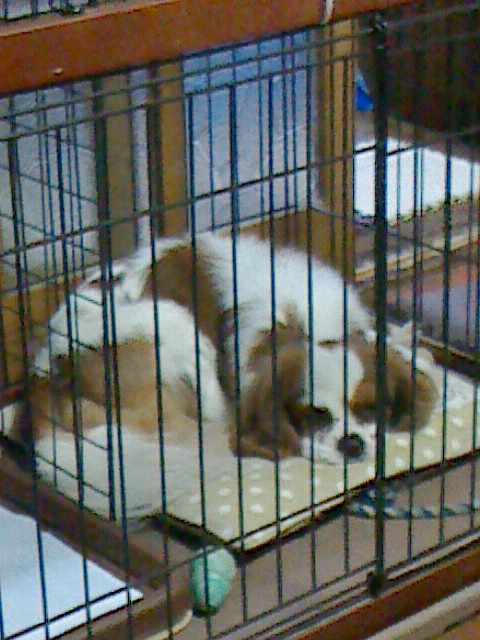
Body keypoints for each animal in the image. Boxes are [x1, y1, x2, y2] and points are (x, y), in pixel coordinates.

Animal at [9, 231, 437, 518]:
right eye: (314, 416)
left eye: (371, 410)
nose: (353, 444)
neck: (302, 322)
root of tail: (47, 380)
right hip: (170, 320)